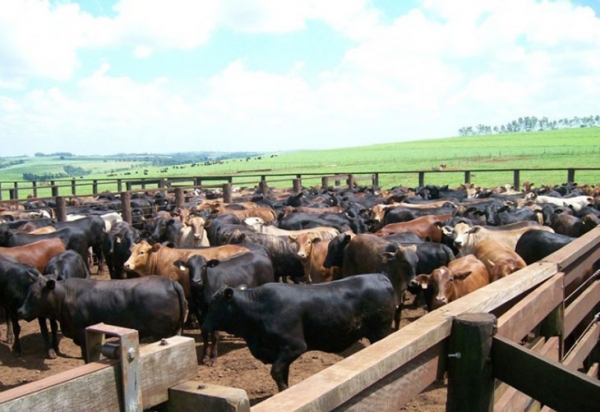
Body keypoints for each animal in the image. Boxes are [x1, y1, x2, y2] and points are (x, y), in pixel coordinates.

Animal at [18, 276, 185, 360]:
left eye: (35, 294)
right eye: (28, 291)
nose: (20, 311)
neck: (65, 296)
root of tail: (171, 282)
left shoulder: (82, 335)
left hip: (161, 333)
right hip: (175, 330)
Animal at [204, 276, 396, 392]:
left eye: (213, 303)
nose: (204, 326)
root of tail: (380, 277)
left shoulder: (294, 346)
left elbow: (276, 372)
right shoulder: (281, 352)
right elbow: (282, 373)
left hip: (381, 332)